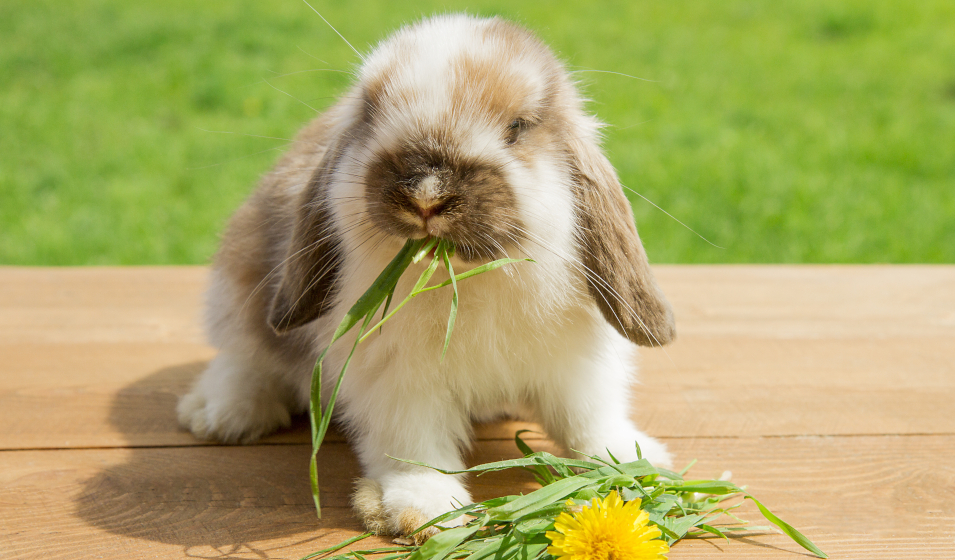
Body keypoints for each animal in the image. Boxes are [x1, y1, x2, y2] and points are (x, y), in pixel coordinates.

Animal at [177, 14, 676, 541]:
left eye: (518, 127)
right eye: (371, 113)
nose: (427, 194)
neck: (470, 280)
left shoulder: (577, 365)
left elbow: (589, 419)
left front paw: (637, 465)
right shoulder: (396, 377)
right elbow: (414, 446)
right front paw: (427, 510)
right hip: (236, 289)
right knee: (246, 358)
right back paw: (219, 415)